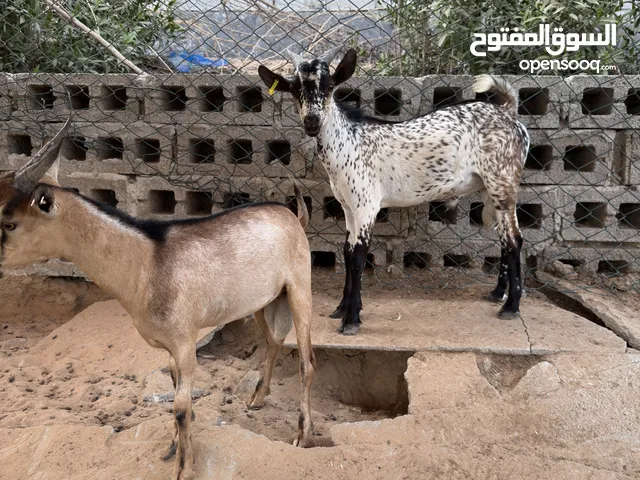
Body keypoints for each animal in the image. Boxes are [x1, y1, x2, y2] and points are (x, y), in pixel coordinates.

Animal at [0, 119, 315, 480]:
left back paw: (302, 435)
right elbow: (176, 392)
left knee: (307, 361)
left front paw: (184, 468)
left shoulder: (185, 339)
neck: (147, 263)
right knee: (273, 341)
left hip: (300, 287)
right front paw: (174, 446)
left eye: (8, 223)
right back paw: (257, 398)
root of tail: (295, 217)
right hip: (263, 300)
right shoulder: (169, 345)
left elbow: (180, 406)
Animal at [259, 47, 530, 335]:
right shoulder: (348, 207)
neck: (349, 142)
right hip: (490, 189)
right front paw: (341, 309)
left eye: (330, 86)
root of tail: (508, 113)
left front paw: (351, 319)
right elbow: (346, 252)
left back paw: (511, 306)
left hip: (503, 181)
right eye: (294, 89)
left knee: (514, 239)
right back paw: (497, 293)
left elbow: (358, 257)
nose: (312, 121)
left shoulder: (366, 205)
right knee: (503, 238)